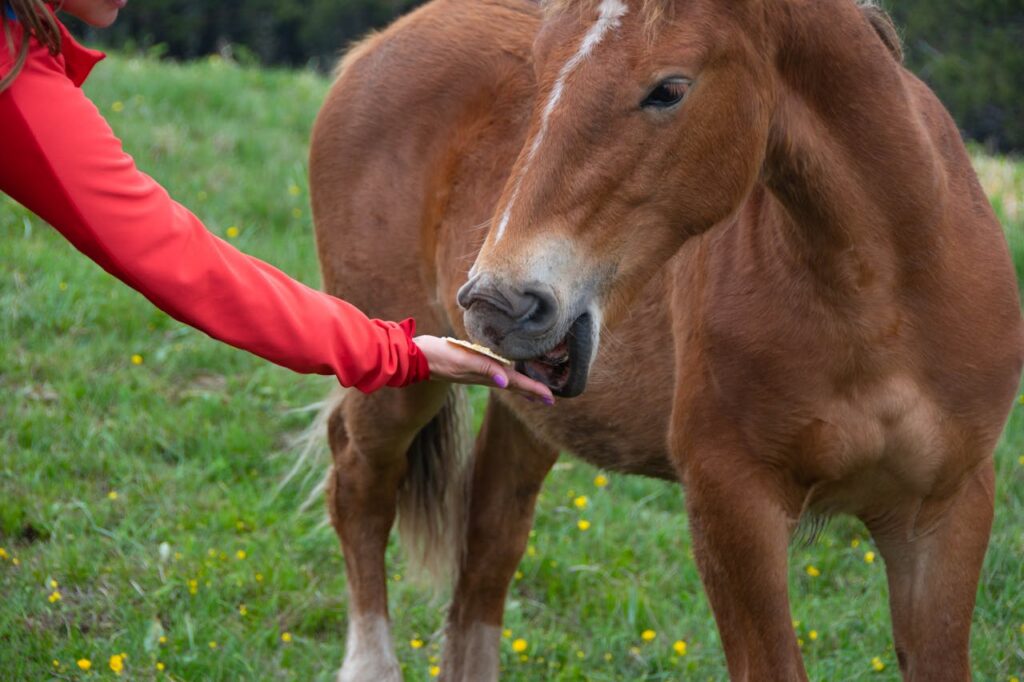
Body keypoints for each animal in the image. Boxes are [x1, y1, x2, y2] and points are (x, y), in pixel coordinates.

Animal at [307, 0, 1023, 678]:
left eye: (669, 90)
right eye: (539, 76)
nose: (497, 302)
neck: (885, 299)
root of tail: (374, 48)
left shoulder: (945, 513)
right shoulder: (732, 506)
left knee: (489, 539)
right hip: (400, 387)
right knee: (361, 491)